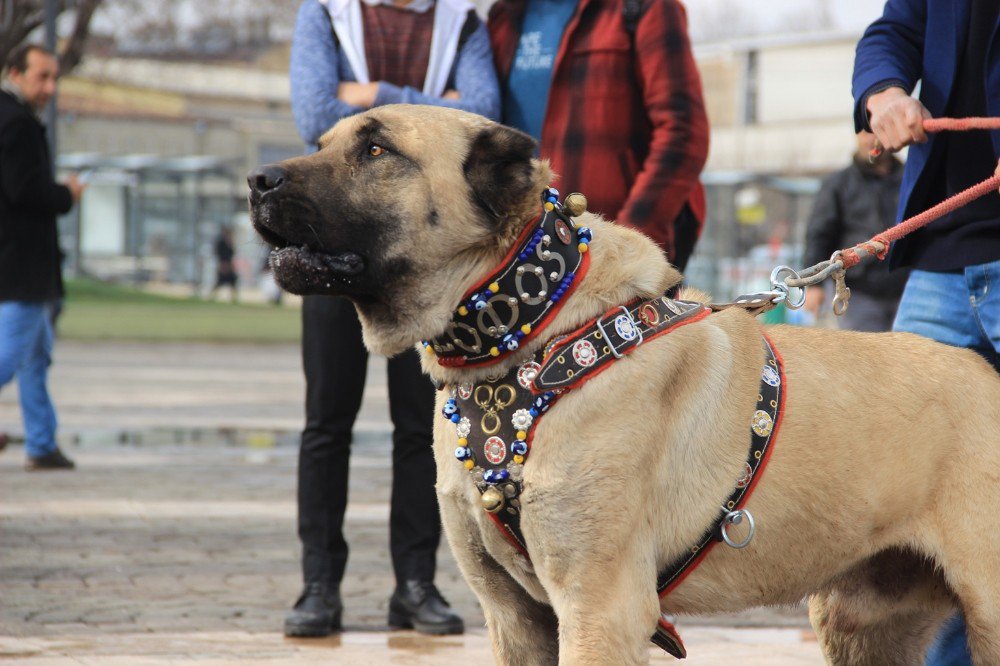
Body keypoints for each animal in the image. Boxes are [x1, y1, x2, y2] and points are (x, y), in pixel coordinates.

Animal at [248, 106, 1000, 660]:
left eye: (377, 151)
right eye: (326, 142)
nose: (256, 180)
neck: (534, 337)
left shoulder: (599, 606)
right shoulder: (516, 616)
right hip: (864, 623)